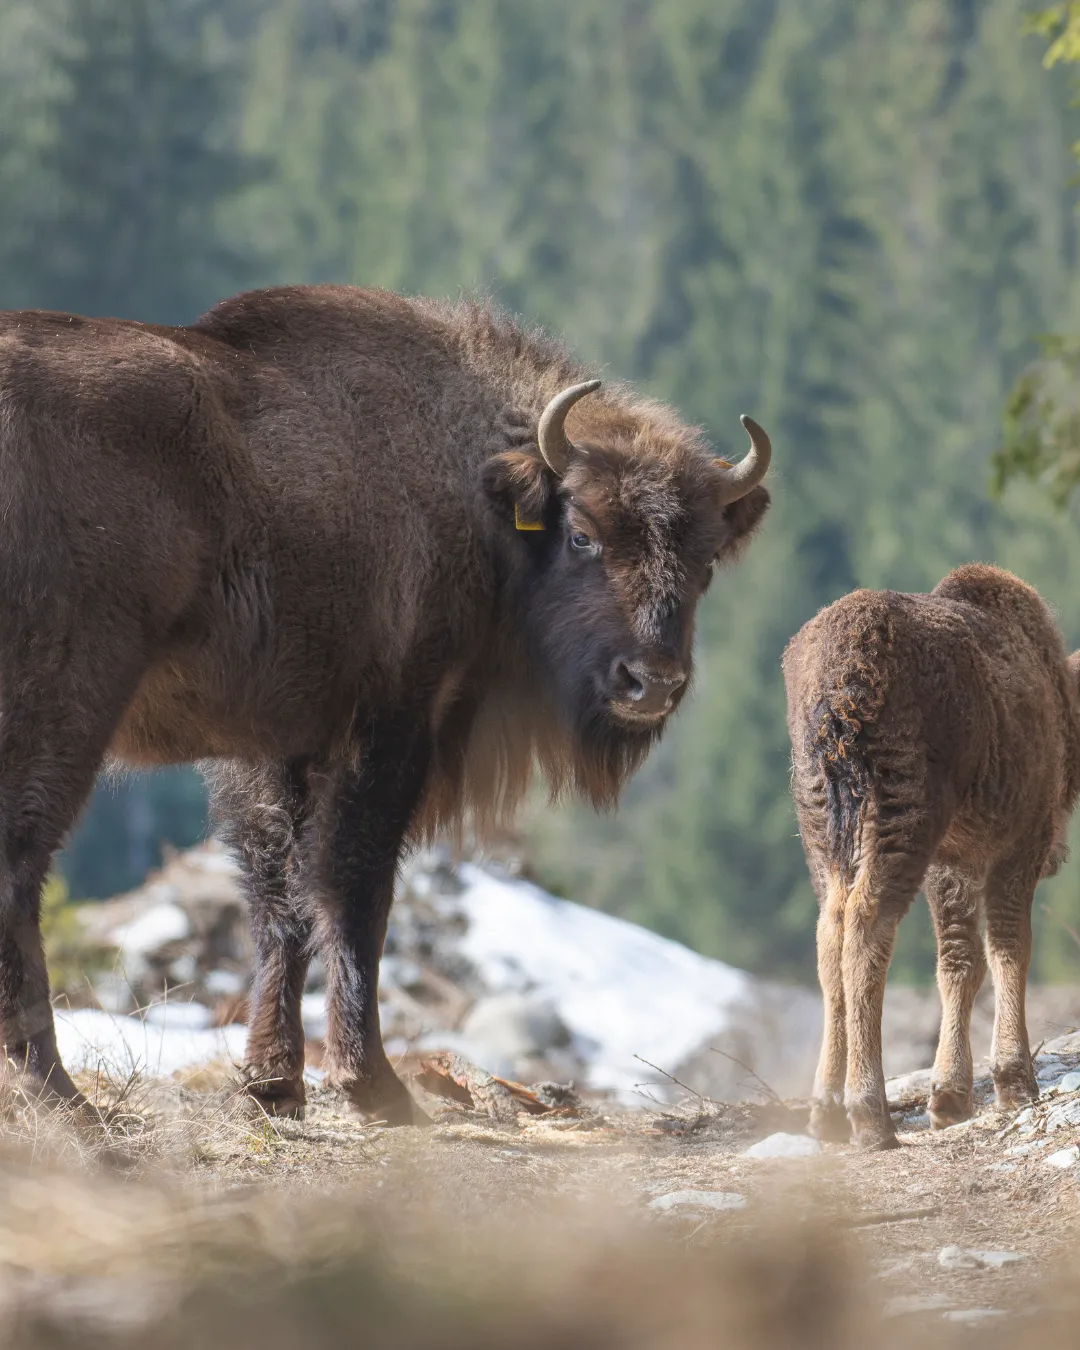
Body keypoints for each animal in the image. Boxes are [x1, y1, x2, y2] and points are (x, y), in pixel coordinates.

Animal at [0, 285, 771, 1122]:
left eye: (705, 559)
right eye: (583, 534)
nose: (650, 681)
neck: (476, 492)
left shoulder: (274, 746)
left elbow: (279, 898)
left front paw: (274, 1083)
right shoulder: (391, 727)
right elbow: (355, 890)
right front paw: (372, 1083)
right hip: (66, 704)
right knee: (21, 865)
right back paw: (61, 1096)